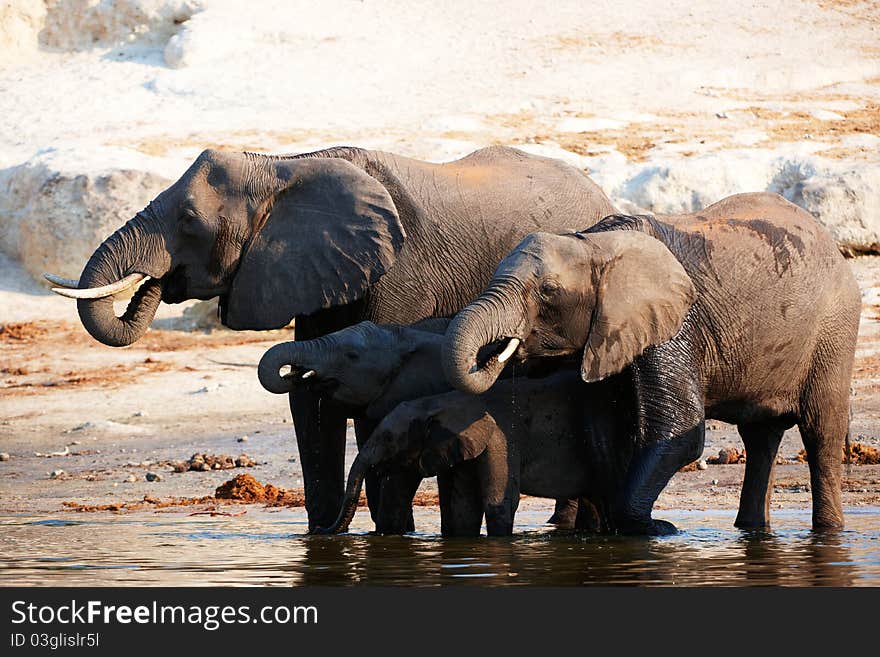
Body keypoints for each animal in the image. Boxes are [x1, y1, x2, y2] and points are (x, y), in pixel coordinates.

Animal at [44, 146, 616, 532]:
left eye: (188, 220)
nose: (156, 282)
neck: (283, 165)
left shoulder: (398, 272)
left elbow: (371, 405)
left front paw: (389, 536)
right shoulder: (311, 270)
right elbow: (308, 402)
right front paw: (322, 537)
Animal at [444, 190, 856, 532]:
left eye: (547, 291)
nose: (495, 355)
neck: (595, 243)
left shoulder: (674, 323)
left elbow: (680, 429)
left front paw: (658, 530)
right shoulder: (611, 334)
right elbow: (604, 427)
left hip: (834, 331)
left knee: (821, 432)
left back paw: (828, 531)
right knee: (760, 437)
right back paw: (751, 530)